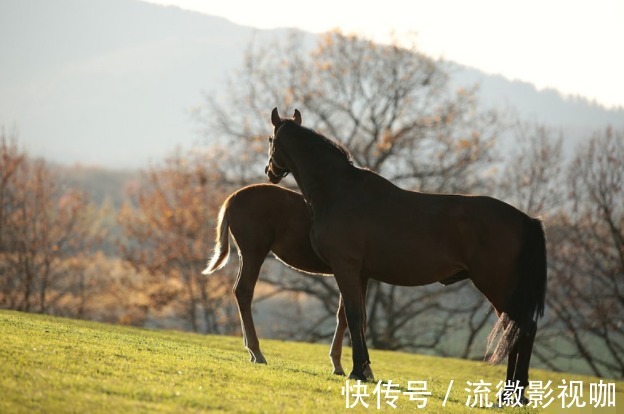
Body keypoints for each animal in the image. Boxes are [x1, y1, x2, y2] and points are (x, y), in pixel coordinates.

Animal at [205, 183, 360, 376]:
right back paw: (256, 352)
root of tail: (232, 199)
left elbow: (343, 312)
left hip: (246, 254)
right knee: (244, 290)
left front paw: (339, 364)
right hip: (254, 252)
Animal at [266, 108, 548, 400]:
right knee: (517, 331)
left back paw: (512, 394)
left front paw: (357, 371)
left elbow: (353, 316)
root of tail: (526, 220)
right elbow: (357, 318)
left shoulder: (345, 267)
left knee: (522, 330)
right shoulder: (360, 273)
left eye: (270, 139)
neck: (339, 190)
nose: (269, 172)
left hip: (498, 288)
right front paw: (363, 368)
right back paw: (514, 394)